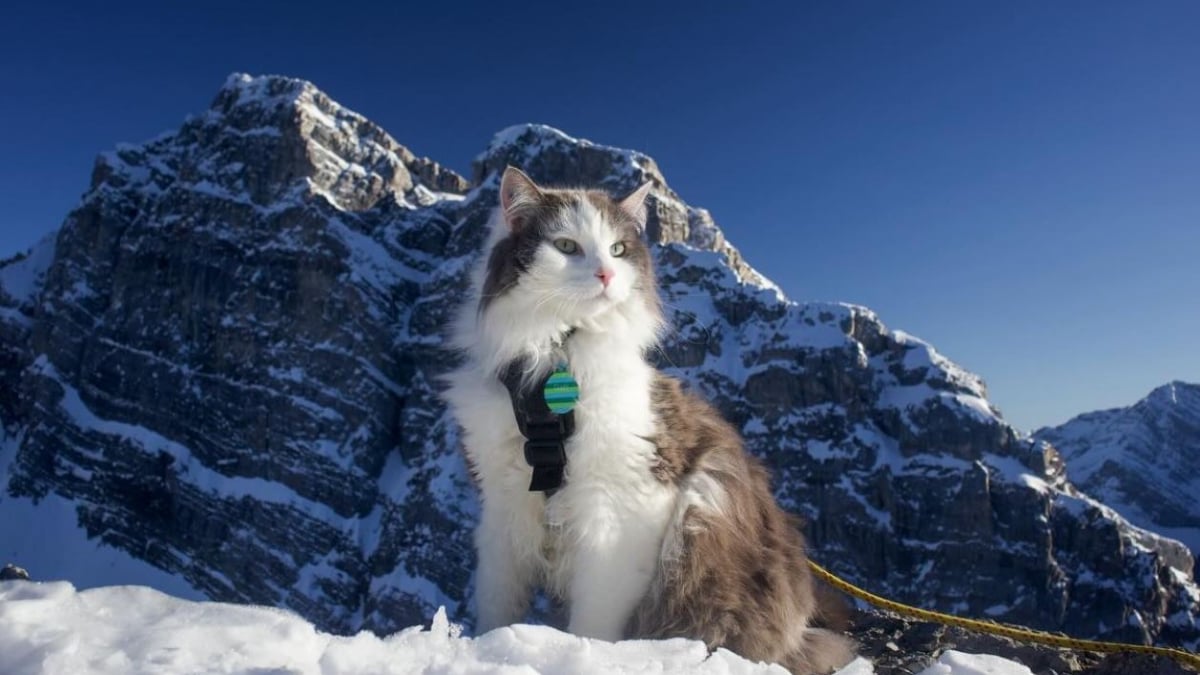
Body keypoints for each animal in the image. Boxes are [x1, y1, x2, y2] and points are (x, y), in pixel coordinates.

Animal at [446, 164, 859, 672]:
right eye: (566, 246)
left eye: (619, 250)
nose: (606, 274)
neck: (553, 366)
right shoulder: (503, 504)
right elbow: (497, 601)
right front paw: (488, 647)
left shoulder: (627, 508)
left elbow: (595, 618)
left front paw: (584, 657)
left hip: (703, 514)